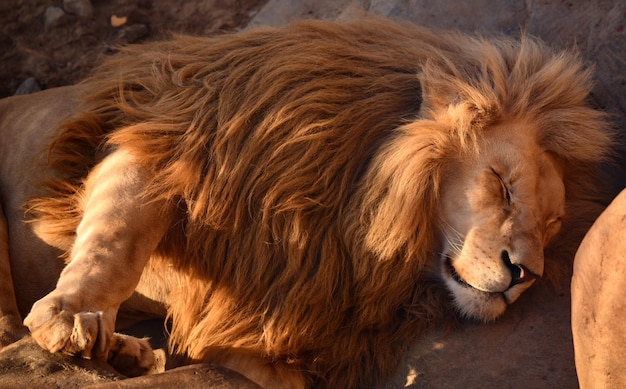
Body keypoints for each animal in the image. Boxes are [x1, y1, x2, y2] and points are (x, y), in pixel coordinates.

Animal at [0, 17, 612, 388]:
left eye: (551, 225)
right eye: (501, 184)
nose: (525, 274)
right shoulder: (162, 139)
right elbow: (116, 241)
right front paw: (68, 317)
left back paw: (127, 354)